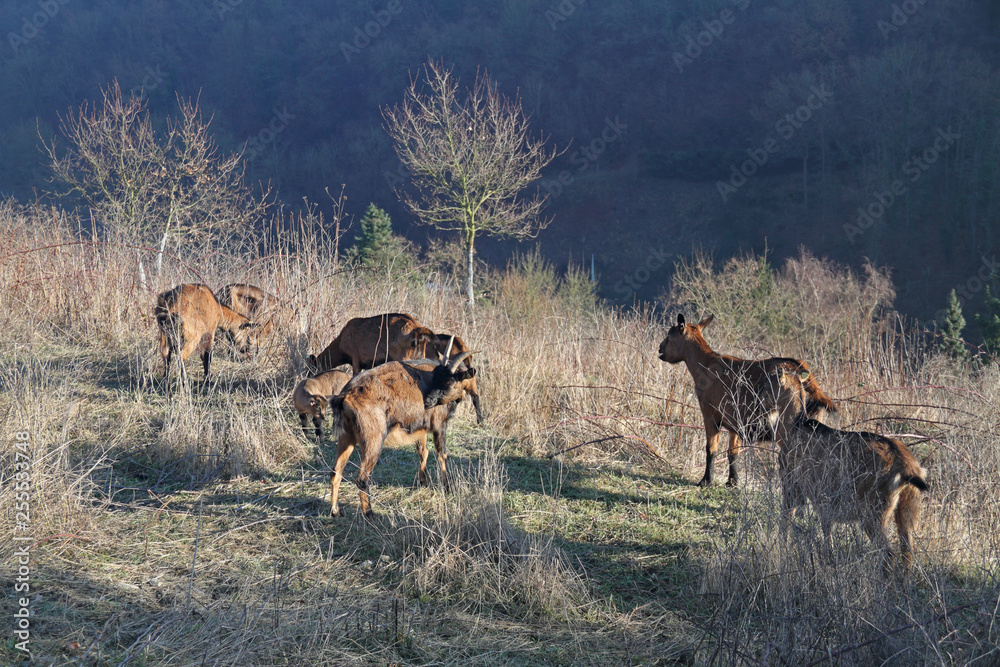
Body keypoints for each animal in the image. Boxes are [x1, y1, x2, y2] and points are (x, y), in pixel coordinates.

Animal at [326, 339, 474, 518]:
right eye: (440, 378)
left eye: (449, 380)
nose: (428, 401)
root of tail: (345, 396)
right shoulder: (439, 425)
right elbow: (441, 454)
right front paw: (448, 487)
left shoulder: (421, 428)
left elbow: (423, 451)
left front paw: (422, 482)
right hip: (373, 440)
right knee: (361, 478)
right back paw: (369, 514)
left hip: (347, 436)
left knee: (336, 472)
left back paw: (335, 511)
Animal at [658, 313, 837, 487]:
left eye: (670, 335)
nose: (660, 348)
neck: (706, 364)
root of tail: (806, 375)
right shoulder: (735, 421)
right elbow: (733, 452)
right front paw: (733, 482)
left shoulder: (710, 413)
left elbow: (711, 449)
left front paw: (706, 481)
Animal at [767, 368, 928, 573]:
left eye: (769, 379)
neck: (795, 425)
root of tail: (908, 465)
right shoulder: (825, 504)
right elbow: (826, 534)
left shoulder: (793, 487)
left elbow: (785, 525)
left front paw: (782, 556)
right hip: (907, 511)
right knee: (908, 554)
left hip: (873, 514)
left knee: (888, 554)